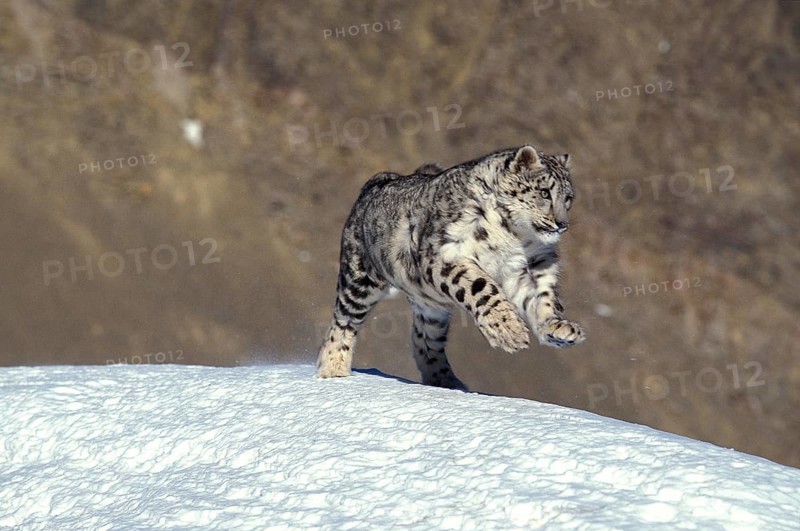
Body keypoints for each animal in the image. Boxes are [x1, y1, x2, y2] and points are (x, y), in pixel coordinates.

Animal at [316, 145, 585, 389]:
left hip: (431, 308)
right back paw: (333, 371)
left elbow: (542, 299)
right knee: (343, 322)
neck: (515, 236)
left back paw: (446, 381)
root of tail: (380, 178)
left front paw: (559, 329)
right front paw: (509, 331)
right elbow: (482, 287)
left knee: (423, 339)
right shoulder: (446, 254)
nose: (562, 224)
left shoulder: (530, 268)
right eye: (544, 193)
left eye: (568, 198)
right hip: (359, 280)